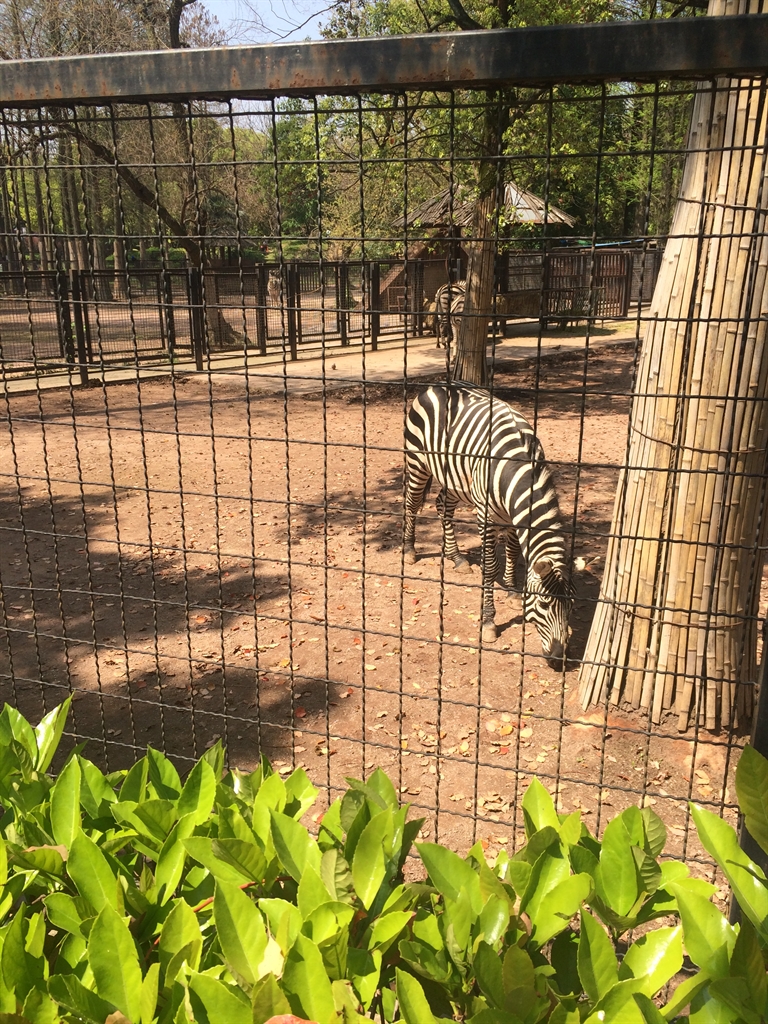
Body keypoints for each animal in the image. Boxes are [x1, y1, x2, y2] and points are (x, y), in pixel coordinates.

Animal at [405, 380, 573, 659]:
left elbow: (513, 552)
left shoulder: (513, 516)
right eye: (543, 604)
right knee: (411, 503)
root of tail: (439, 383)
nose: (558, 655)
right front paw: (489, 622)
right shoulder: (485, 515)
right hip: (417, 462)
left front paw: (512, 590)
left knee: (442, 506)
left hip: (456, 478)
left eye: (571, 605)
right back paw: (409, 549)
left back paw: (457, 557)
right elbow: (491, 566)